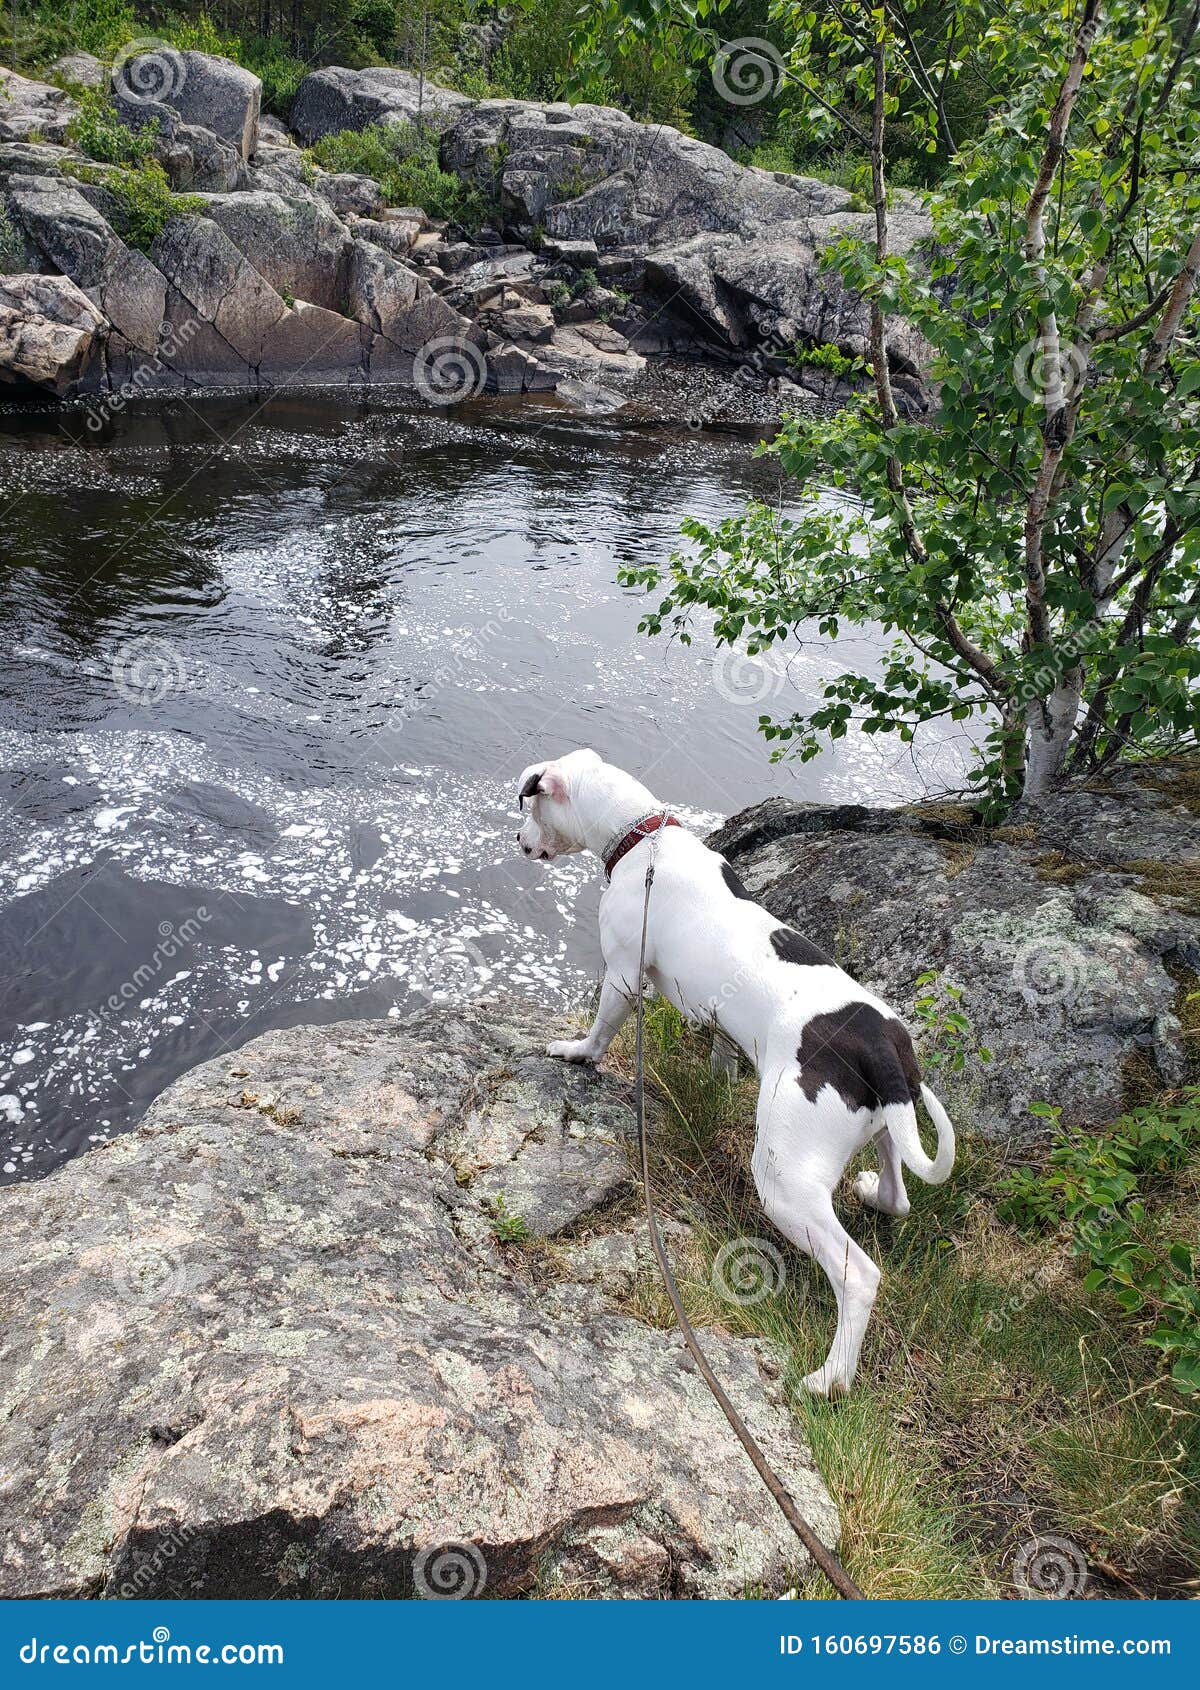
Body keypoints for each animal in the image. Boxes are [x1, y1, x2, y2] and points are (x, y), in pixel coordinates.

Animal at [517, 746, 960, 1392]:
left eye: (529, 805)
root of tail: (881, 1045)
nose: (519, 841)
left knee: (858, 1277)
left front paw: (579, 1052)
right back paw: (875, 1193)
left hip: (784, 1181)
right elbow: (722, 1053)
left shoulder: (623, 972)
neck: (644, 838)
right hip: (882, 1129)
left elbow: (601, 1029)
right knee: (897, 1197)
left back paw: (828, 1378)